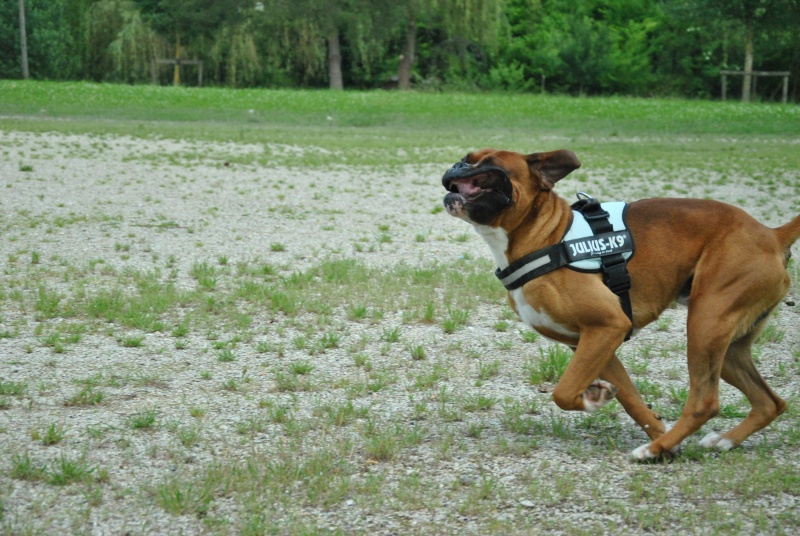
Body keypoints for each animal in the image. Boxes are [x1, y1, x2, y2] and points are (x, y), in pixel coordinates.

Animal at [444, 149, 800, 458]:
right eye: (465, 159)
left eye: (487, 164)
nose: (457, 165)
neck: (544, 236)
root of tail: (771, 234)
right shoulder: (592, 342)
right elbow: (630, 398)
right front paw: (658, 434)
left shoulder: (609, 326)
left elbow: (563, 392)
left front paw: (596, 403)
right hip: (727, 347)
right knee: (770, 403)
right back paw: (716, 442)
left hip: (705, 325)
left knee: (705, 403)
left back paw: (652, 451)